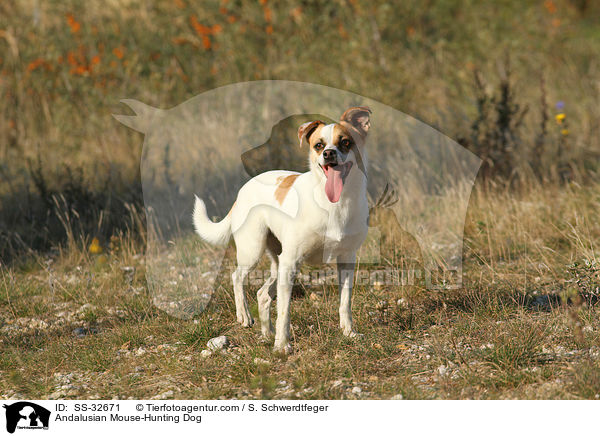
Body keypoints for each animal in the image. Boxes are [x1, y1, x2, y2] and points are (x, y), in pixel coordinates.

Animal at [193, 107, 370, 352]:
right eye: (319, 145)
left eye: (345, 142)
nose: (328, 154)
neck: (335, 204)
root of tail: (243, 190)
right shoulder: (291, 262)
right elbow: (284, 312)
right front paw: (282, 346)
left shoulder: (346, 260)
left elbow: (345, 302)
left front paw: (349, 333)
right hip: (255, 252)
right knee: (237, 276)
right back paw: (244, 316)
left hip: (278, 262)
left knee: (262, 294)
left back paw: (266, 334)